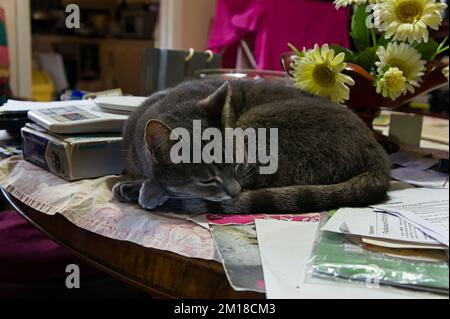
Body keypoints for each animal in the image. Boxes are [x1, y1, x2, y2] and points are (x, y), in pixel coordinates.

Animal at [114, 79, 392, 215]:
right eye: (206, 179)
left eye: (237, 164)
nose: (235, 192)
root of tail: (379, 157)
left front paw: (147, 189)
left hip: (263, 130)